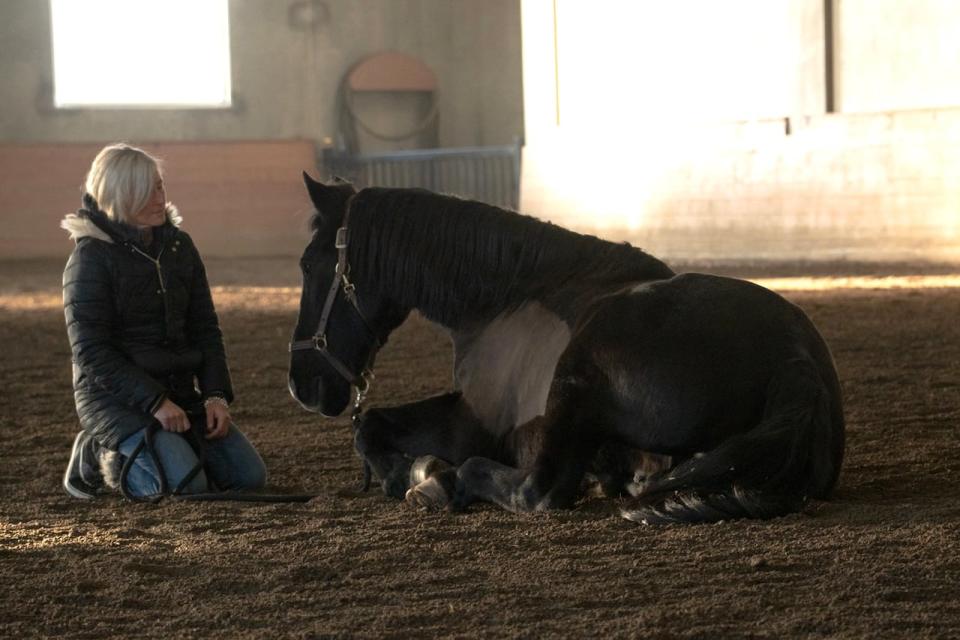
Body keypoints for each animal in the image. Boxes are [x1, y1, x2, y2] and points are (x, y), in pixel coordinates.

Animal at [288, 175, 844, 524]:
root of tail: (795, 358)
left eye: (309, 264)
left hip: (571, 384)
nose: (301, 384)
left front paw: (408, 473)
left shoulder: (473, 422)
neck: (504, 299)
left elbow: (371, 429)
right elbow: (372, 423)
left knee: (536, 490)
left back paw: (442, 485)